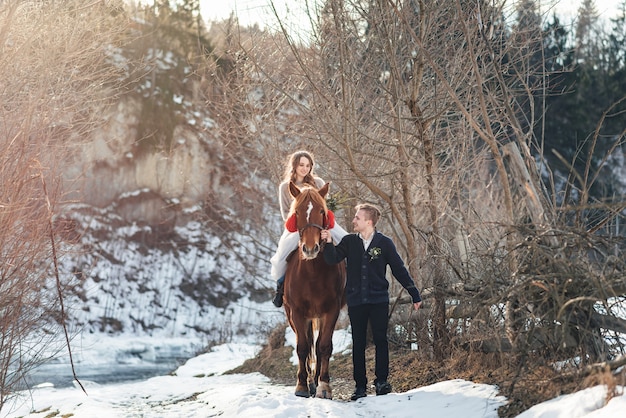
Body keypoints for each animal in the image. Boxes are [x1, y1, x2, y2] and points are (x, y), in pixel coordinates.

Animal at [280, 181, 344, 400]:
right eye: (297, 212)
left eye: (322, 211)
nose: (310, 249)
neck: (313, 273)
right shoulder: (297, 313)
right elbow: (302, 347)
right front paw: (301, 386)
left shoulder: (331, 310)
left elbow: (323, 346)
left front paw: (324, 385)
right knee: (307, 345)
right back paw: (309, 382)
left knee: (316, 345)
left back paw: (315, 382)